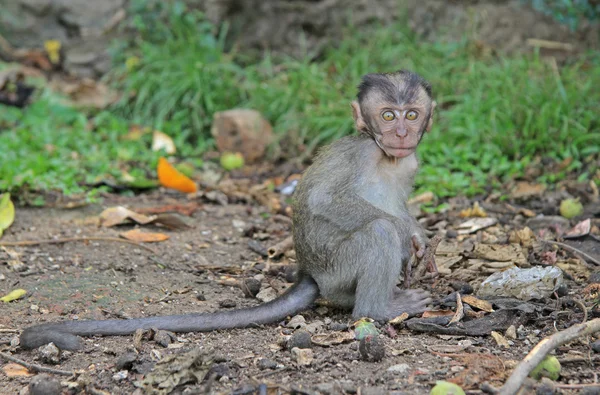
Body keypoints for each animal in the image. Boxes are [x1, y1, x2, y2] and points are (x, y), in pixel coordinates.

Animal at [19, 69, 436, 352]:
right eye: (387, 115)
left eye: (411, 114)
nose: (400, 134)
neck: (386, 157)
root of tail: (308, 272)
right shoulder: (360, 152)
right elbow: (324, 200)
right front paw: (404, 234)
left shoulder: (410, 162)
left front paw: (418, 235)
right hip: (336, 270)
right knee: (375, 231)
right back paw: (376, 308)